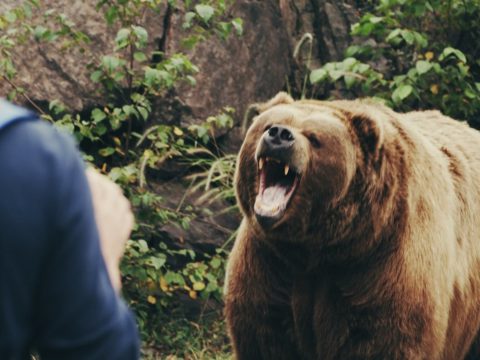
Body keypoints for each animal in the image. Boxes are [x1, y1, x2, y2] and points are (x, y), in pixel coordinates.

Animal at [227, 93, 480, 360]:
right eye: (268, 125)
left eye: (314, 138)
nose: (279, 135)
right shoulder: (270, 261)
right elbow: (265, 334)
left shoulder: (384, 263)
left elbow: (383, 340)